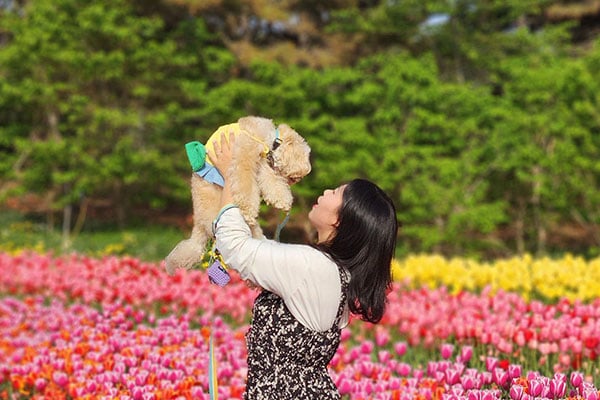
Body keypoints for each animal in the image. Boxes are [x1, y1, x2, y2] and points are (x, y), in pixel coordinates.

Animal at [165, 114, 312, 274]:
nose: (303, 175)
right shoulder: (244, 158)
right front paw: (249, 209)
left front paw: (282, 200)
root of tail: (199, 227)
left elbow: (270, 180)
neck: (268, 140)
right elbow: (246, 184)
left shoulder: (261, 165)